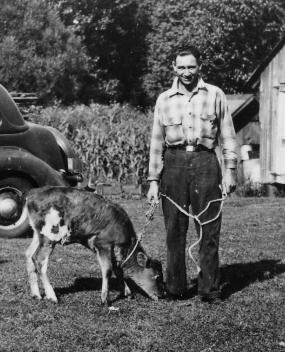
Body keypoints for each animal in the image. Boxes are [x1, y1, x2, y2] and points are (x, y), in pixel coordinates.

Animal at [25, 187, 163, 306]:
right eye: (157, 276)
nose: (163, 294)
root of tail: (32, 194)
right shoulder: (103, 244)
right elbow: (107, 270)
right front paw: (105, 300)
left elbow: (118, 270)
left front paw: (128, 293)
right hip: (50, 235)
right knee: (38, 259)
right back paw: (51, 296)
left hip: (38, 235)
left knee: (29, 254)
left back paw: (36, 295)